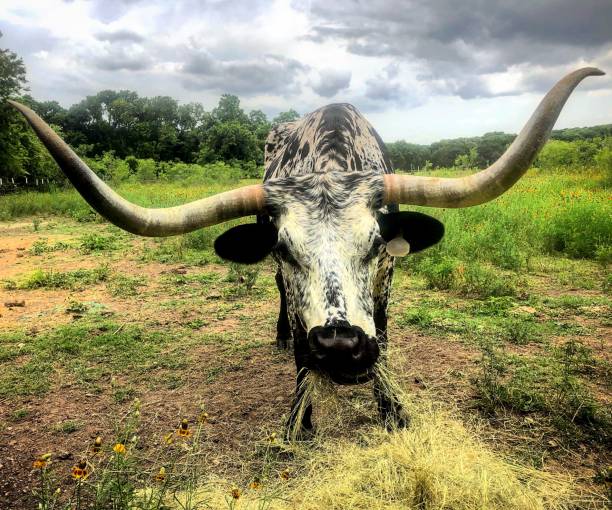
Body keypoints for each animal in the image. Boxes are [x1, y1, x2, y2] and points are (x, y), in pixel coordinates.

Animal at [9, 65, 604, 436]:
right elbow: (298, 350)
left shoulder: (387, 285)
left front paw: (392, 409)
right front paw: (301, 419)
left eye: (376, 244)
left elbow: (386, 339)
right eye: (285, 248)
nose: (340, 348)